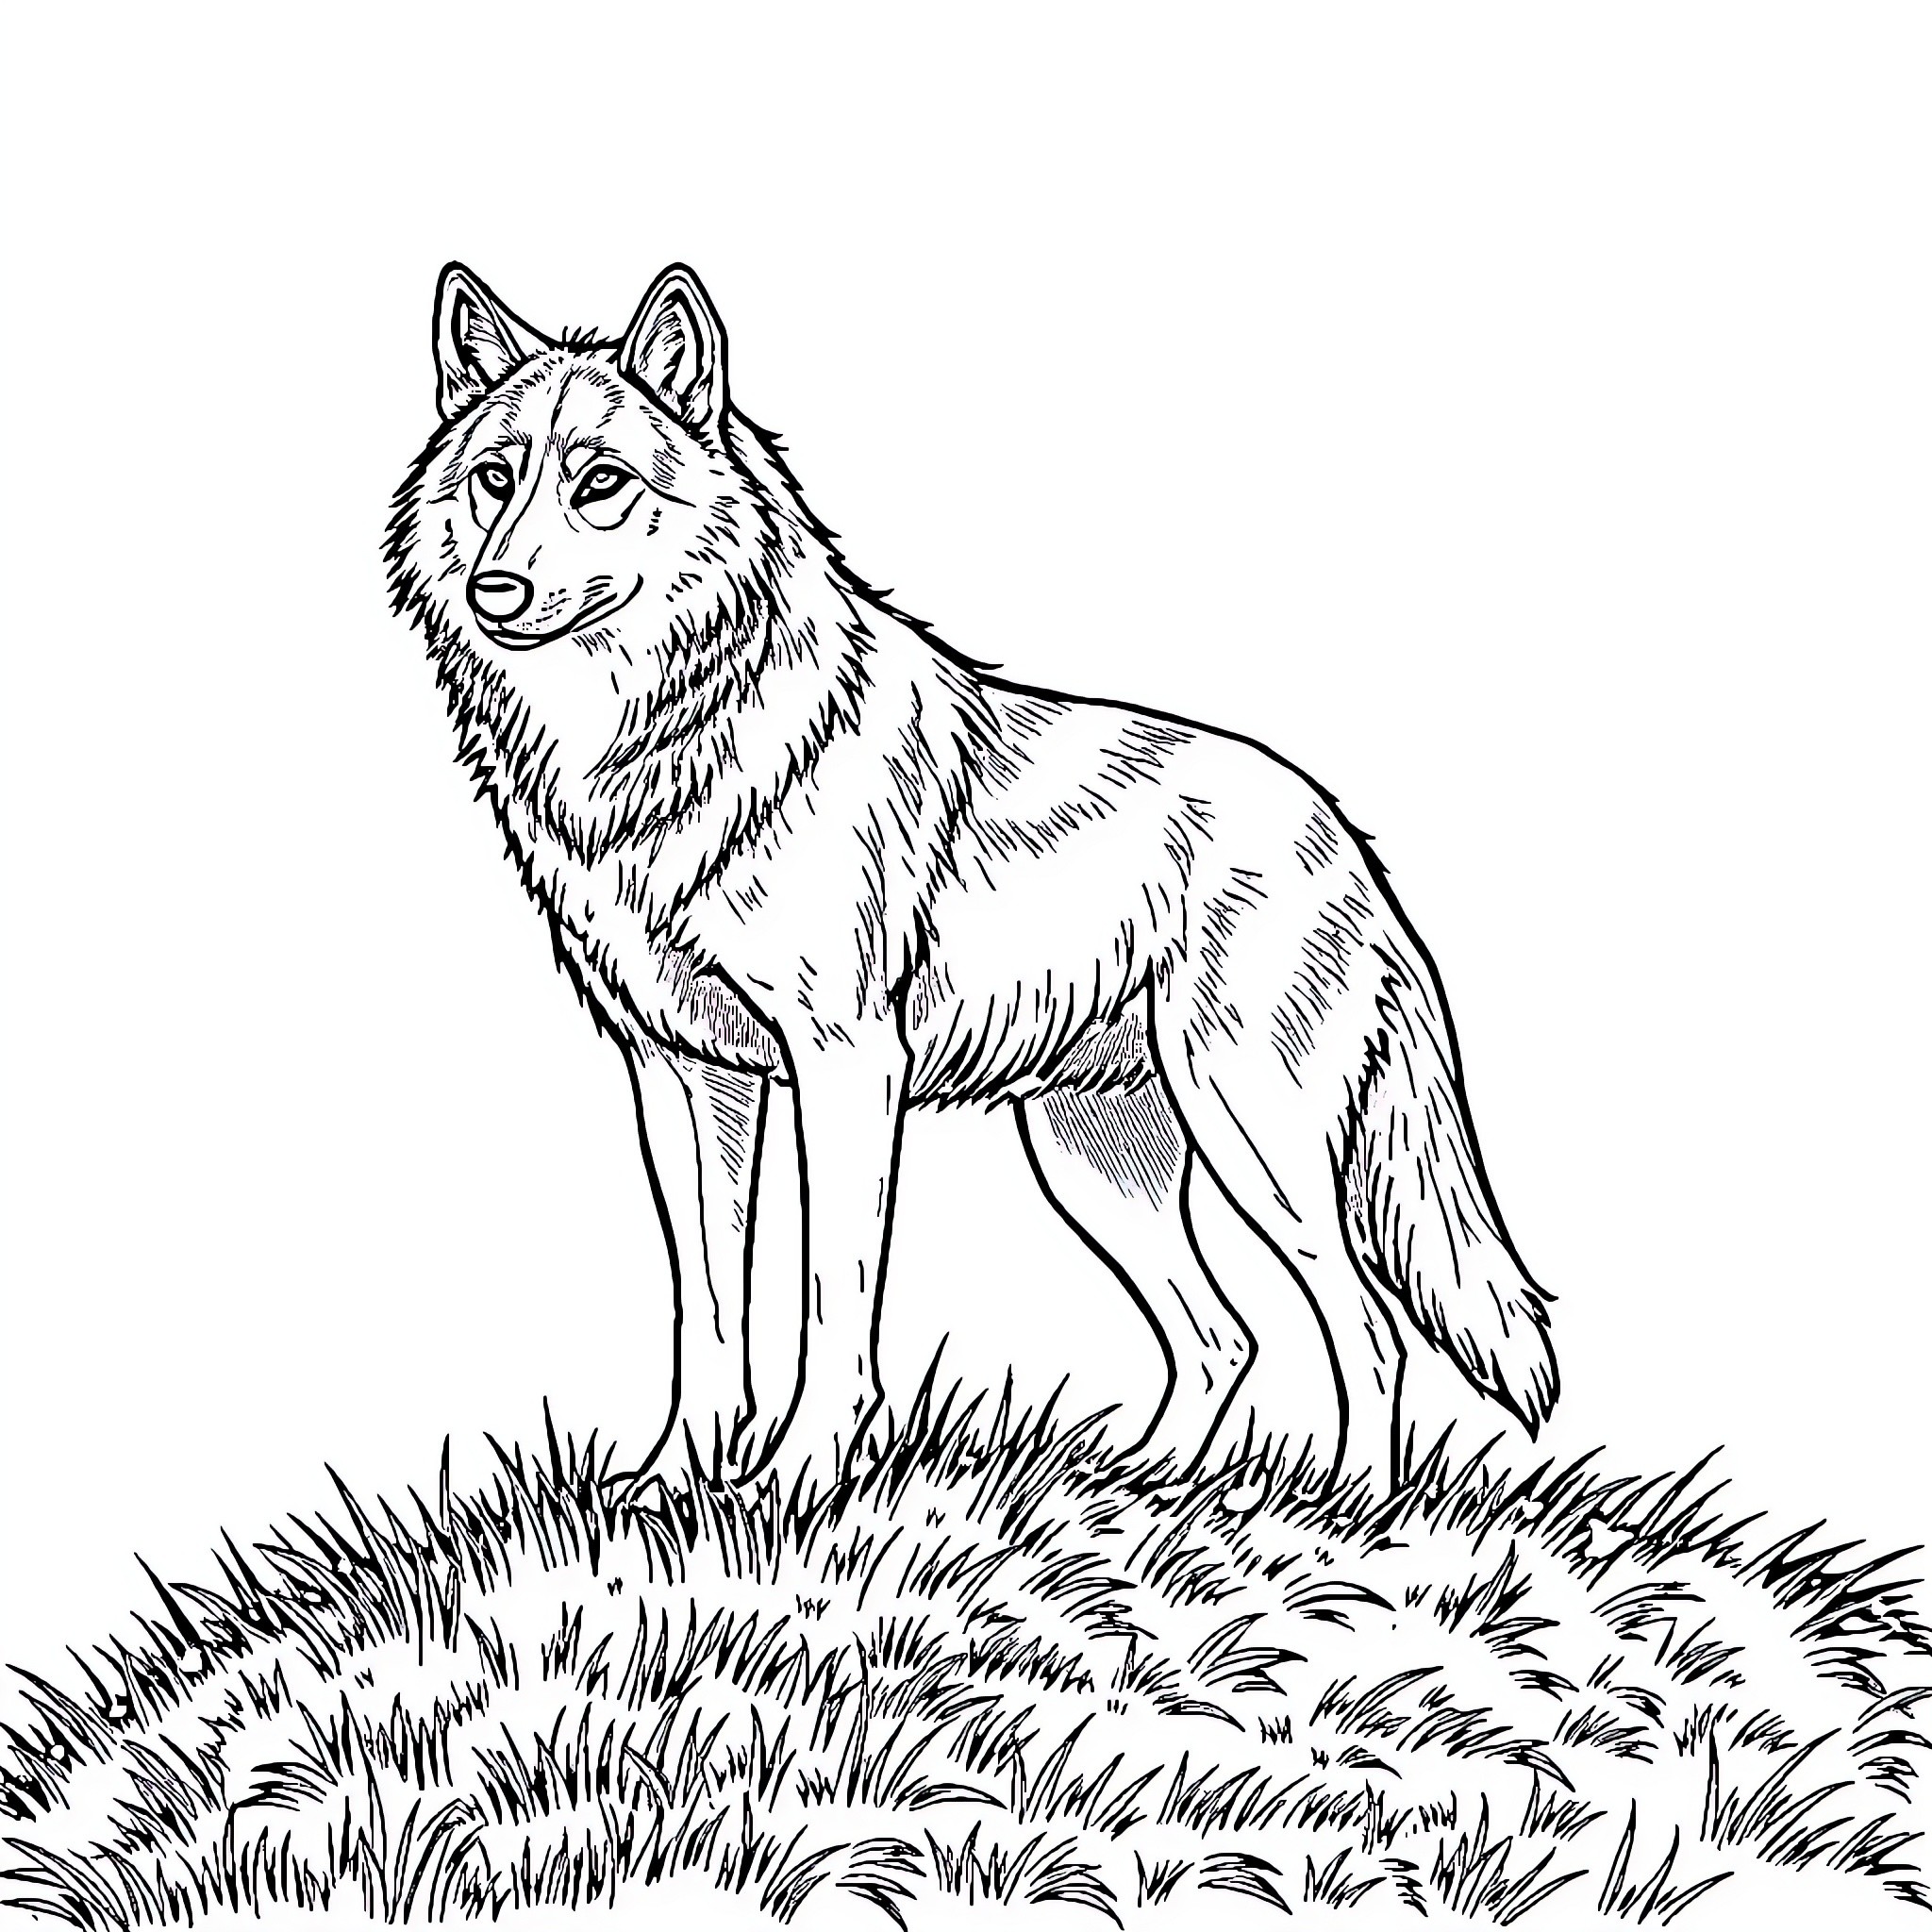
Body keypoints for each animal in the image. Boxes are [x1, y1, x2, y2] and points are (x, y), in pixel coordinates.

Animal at [385, 262, 1557, 1498]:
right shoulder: (682, 1076)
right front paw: (674, 1482)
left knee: (1366, 1328)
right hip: (1091, 1160)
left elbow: (828, 1298)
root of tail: (1339, 829)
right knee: (1218, 1336)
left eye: (599, 482)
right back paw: (1136, 1492)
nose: (494, 590)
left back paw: (1343, 1514)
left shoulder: (846, 1064)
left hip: (1249, 1137)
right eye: (496, 478)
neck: (662, 741)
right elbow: (705, 1307)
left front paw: (804, 1477)